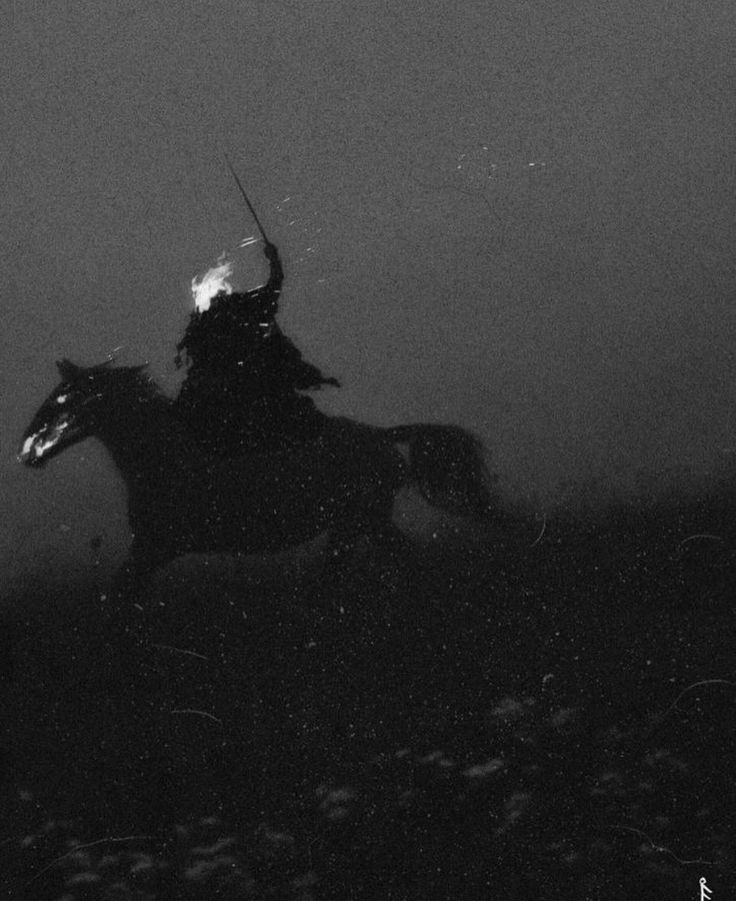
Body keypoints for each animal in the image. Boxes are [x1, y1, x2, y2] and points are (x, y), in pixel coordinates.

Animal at [18, 358, 500, 596]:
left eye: (64, 400)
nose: (27, 451)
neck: (168, 460)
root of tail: (380, 438)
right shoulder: (152, 552)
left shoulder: (155, 549)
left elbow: (119, 599)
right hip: (359, 524)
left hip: (363, 519)